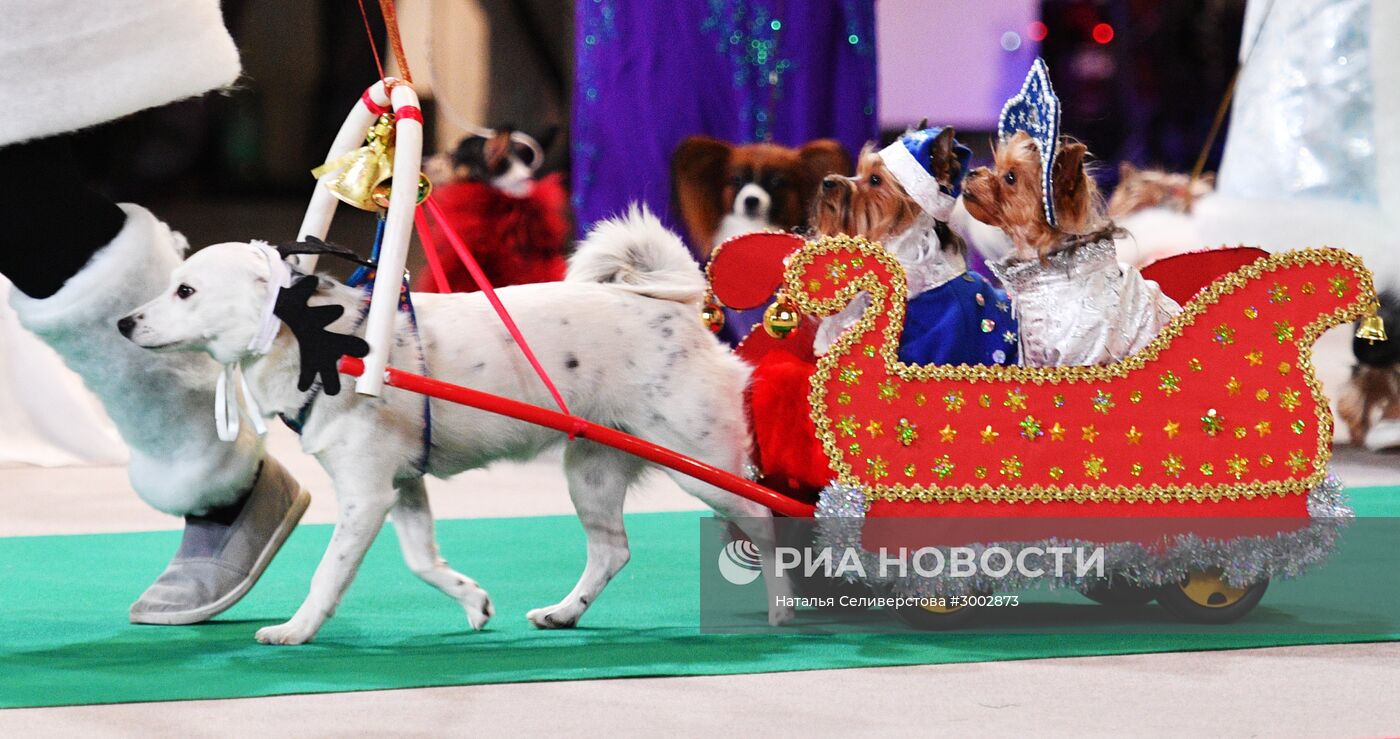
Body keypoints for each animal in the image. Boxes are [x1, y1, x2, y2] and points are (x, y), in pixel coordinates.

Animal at [117, 204, 800, 643]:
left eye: (185, 291)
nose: (123, 323)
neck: (321, 340)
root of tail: (679, 310)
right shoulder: (402, 488)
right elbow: (423, 561)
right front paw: (473, 601)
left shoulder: (365, 496)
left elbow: (328, 574)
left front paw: (296, 630)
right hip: (591, 472)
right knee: (612, 551)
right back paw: (564, 614)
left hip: (702, 469)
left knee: (765, 521)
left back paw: (783, 610)